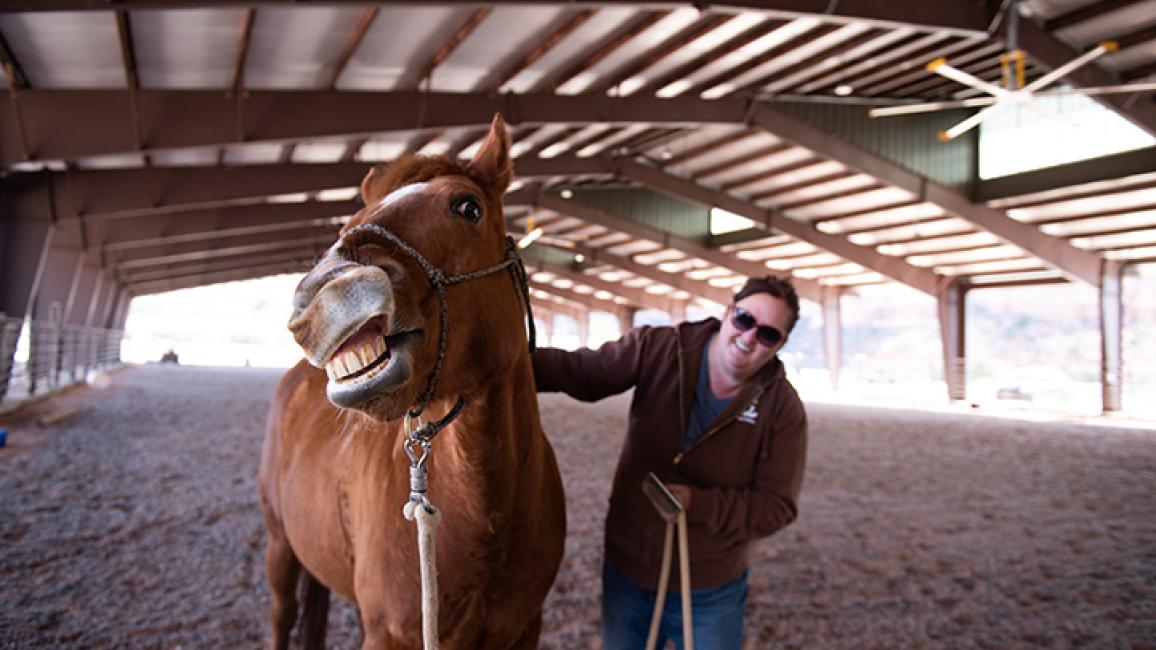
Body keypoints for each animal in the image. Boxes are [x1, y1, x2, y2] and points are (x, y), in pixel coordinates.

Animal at [258, 115, 566, 649]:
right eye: (349, 220)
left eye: (468, 207)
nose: (327, 293)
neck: (486, 521)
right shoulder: (390, 634)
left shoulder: (526, 628)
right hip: (280, 545)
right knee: (282, 613)